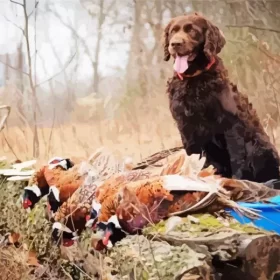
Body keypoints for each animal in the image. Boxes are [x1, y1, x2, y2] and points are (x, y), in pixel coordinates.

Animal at [164, 13, 280, 183]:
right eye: (173, 31)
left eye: (192, 30)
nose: (175, 44)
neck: (195, 80)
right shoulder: (186, 127)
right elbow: (194, 157)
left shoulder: (230, 124)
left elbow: (237, 158)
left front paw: (237, 180)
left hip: (257, 144)